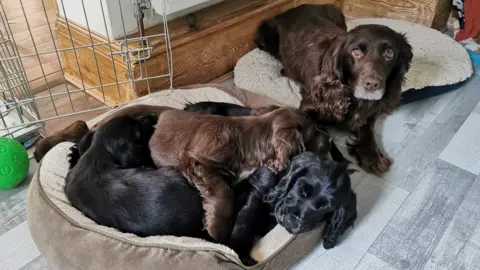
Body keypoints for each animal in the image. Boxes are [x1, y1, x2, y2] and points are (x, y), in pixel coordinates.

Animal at [150, 106, 330, 244]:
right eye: (315, 130)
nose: (329, 139)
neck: (250, 139)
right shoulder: (198, 162)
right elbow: (225, 193)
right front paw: (218, 231)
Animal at [255, 4, 412, 173]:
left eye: (389, 53)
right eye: (356, 52)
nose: (372, 84)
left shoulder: (369, 112)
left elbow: (367, 128)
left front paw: (371, 155)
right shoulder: (309, 107)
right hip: (264, 36)